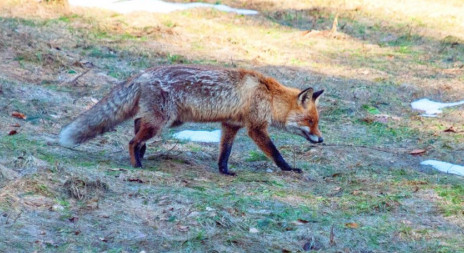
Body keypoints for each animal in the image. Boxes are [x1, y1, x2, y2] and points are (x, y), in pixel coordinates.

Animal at [59, 65, 324, 175]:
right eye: (310, 121)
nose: (321, 140)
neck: (269, 96)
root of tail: (143, 74)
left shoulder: (230, 125)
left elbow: (224, 153)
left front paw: (224, 171)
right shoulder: (256, 128)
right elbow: (276, 153)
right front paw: (289, 169)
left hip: (166, 120)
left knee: (137, 125)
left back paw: (142, 153)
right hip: (162, 121)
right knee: (132, 140)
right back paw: (137, 163)